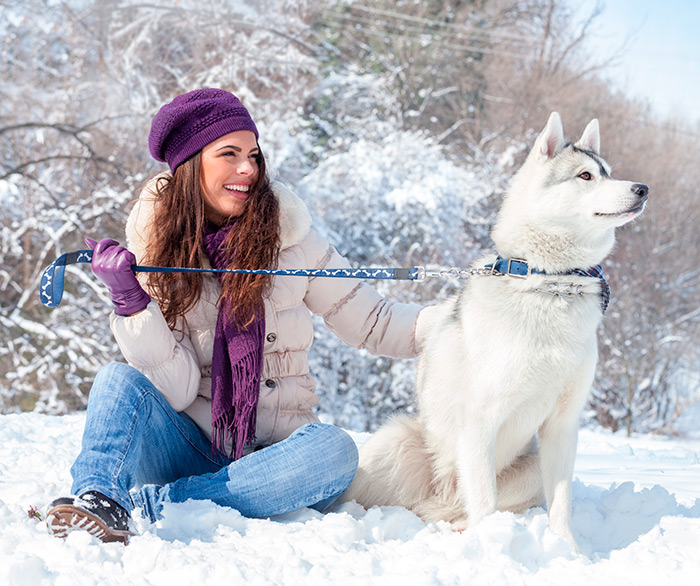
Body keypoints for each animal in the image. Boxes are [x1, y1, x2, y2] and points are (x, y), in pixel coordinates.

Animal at [340, 112, 644, 548]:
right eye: (586, 176)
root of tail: (440, 499)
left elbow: (560, 504)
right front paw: (493, 548)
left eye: (609, 172)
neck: (549, 283)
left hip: (529, 468)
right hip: (395, 441)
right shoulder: (479, 421)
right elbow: (484, 499)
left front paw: (568, 551)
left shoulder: (563, 426)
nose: (642, 189)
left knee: (464, 511)